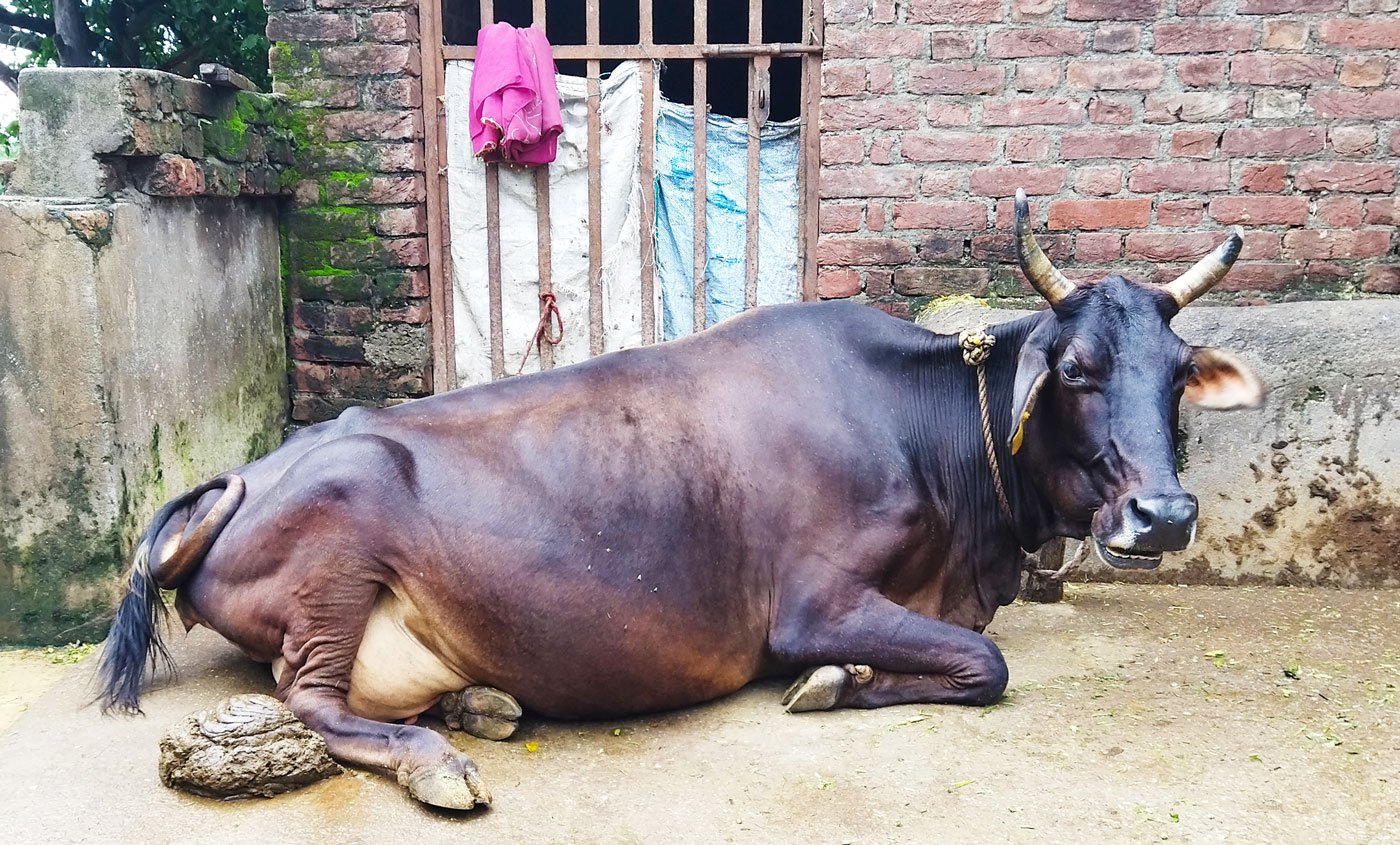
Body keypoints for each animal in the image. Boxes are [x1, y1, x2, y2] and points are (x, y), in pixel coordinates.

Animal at [98, 190, 1264, 810]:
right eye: (1074, 369)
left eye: (1175, 375)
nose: (1164, 515)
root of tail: (253, 468)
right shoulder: (813, 602)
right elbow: (982, 662)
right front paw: (833, 682)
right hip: (342, 538)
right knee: (314, 697)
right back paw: (440, 761)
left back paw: (484, 700)